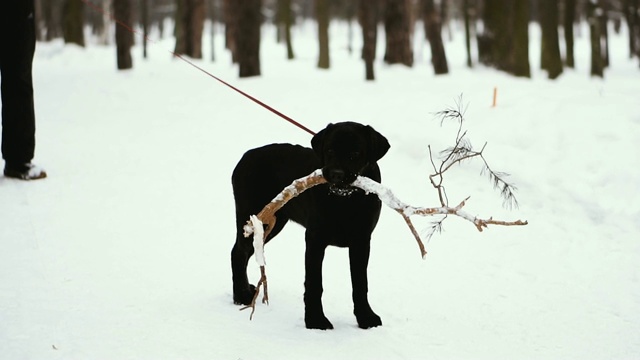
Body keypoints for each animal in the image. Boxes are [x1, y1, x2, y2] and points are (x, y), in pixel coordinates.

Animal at [230, 121, 390, 330]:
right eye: (329, 150)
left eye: (355, 153)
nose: (336, 175)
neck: (344, 202)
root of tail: (246, 156)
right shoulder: (315, 238)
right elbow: (314, 283)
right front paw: (316, 320)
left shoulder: (361, 240)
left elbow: (360, 283)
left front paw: (366, 317)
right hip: (253, 217)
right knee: (238, 253)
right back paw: (241, 296)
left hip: (272, 223)